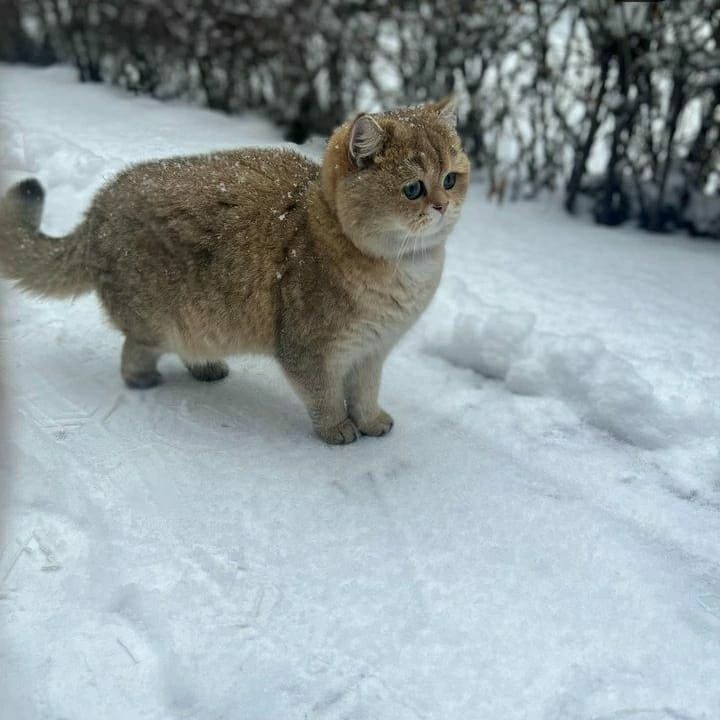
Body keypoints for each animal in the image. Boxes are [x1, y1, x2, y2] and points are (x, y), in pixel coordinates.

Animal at [0, 95, 470, 444]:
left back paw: (206, 367)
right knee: (133, 350)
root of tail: (98, 208)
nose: (443, 206)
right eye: (413, 189)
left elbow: (365, 393)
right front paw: (338, 428)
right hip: (156, 321)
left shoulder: (371, 351)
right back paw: (145, 379)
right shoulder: (309, 350)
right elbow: (325, 397)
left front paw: (370, 420)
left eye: (451, 179)